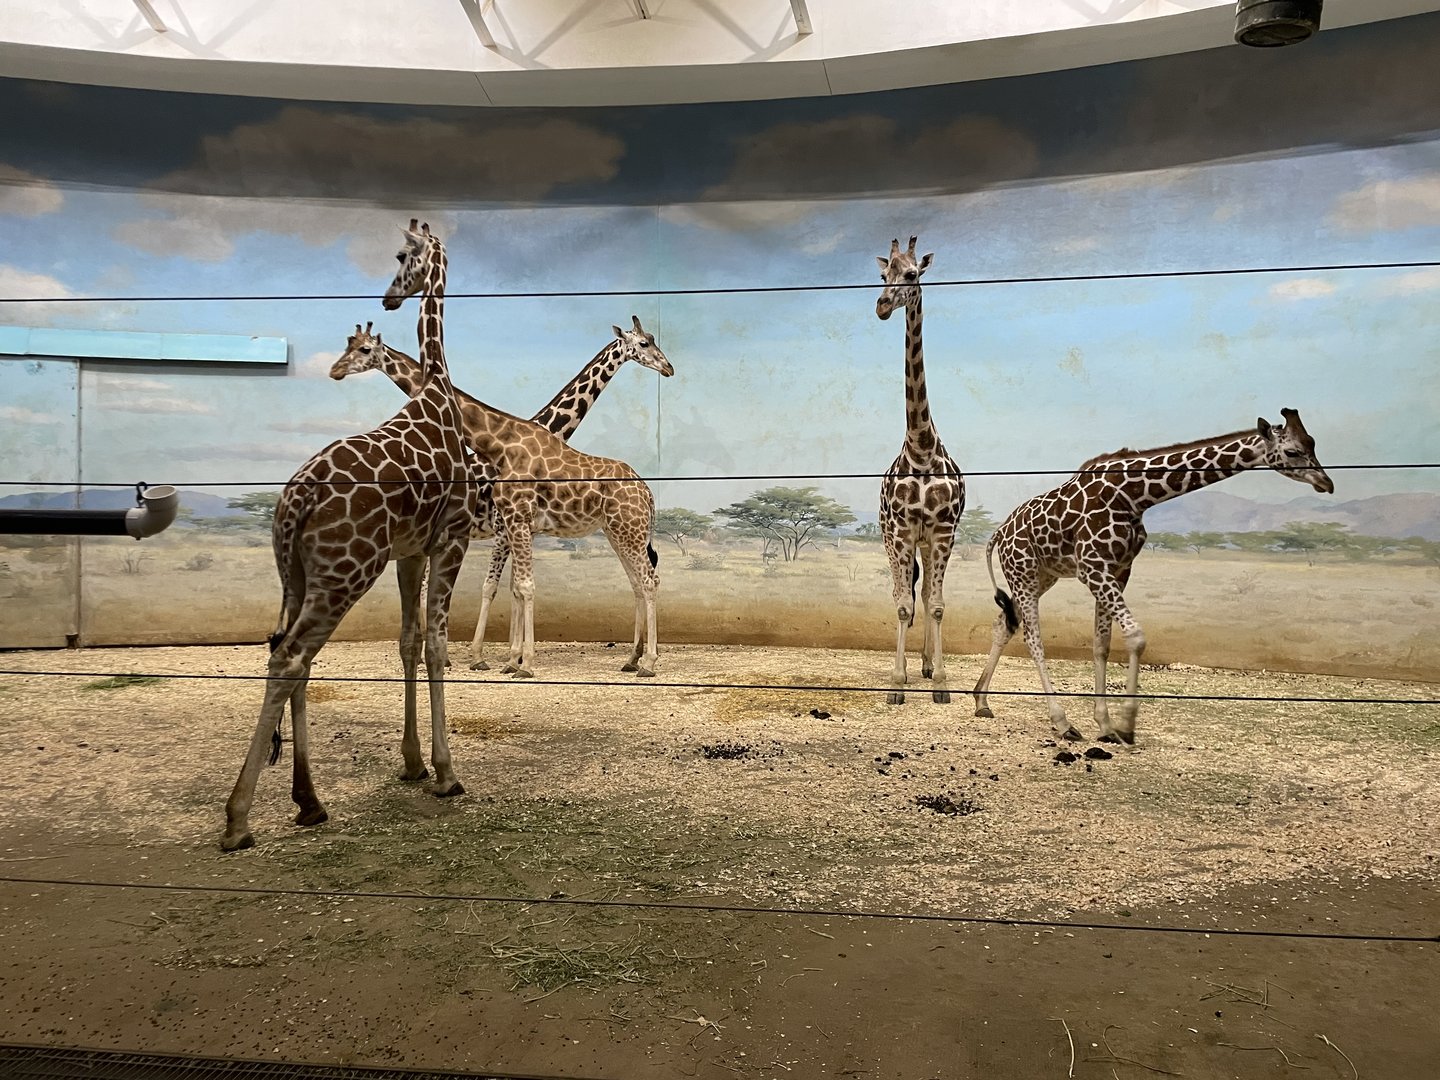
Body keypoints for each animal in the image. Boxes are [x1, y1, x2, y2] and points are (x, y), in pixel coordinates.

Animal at [221, 220, 475, 852]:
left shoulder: (411, 550)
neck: (438, 392)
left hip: (296, 573)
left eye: (404, 256)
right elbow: (437, 645)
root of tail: (295, 500)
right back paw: (237, 820)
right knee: (290, 656)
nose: (387, 298)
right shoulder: (452, 536)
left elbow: (409, 641)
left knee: (290, 655)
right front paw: (446, 773)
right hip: (346, 571)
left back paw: (309, 801)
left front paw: (413, 763)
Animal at [329, 317, 671, 670]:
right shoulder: (505, 527)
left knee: (643, 580)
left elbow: (508, 587)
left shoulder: (513, 528)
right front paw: (501, 657)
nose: (668, 367)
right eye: (644, 343)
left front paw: (510, 656)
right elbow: (502, 587)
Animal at [972, 408, 1334, 744]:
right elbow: (1136, 636)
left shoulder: (1119, 569)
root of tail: (997, 535)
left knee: (1004, 624)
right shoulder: (1093, 568)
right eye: (1293, 451)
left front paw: (1106, 725)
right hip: (1024, 576)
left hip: (1041, 577)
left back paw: (982, 701)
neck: (1134, 496)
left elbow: (1102, 645)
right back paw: (1062, 722)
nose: (1326, 484)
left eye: (1313, 443)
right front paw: (1127, 724)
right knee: (1033, 638)